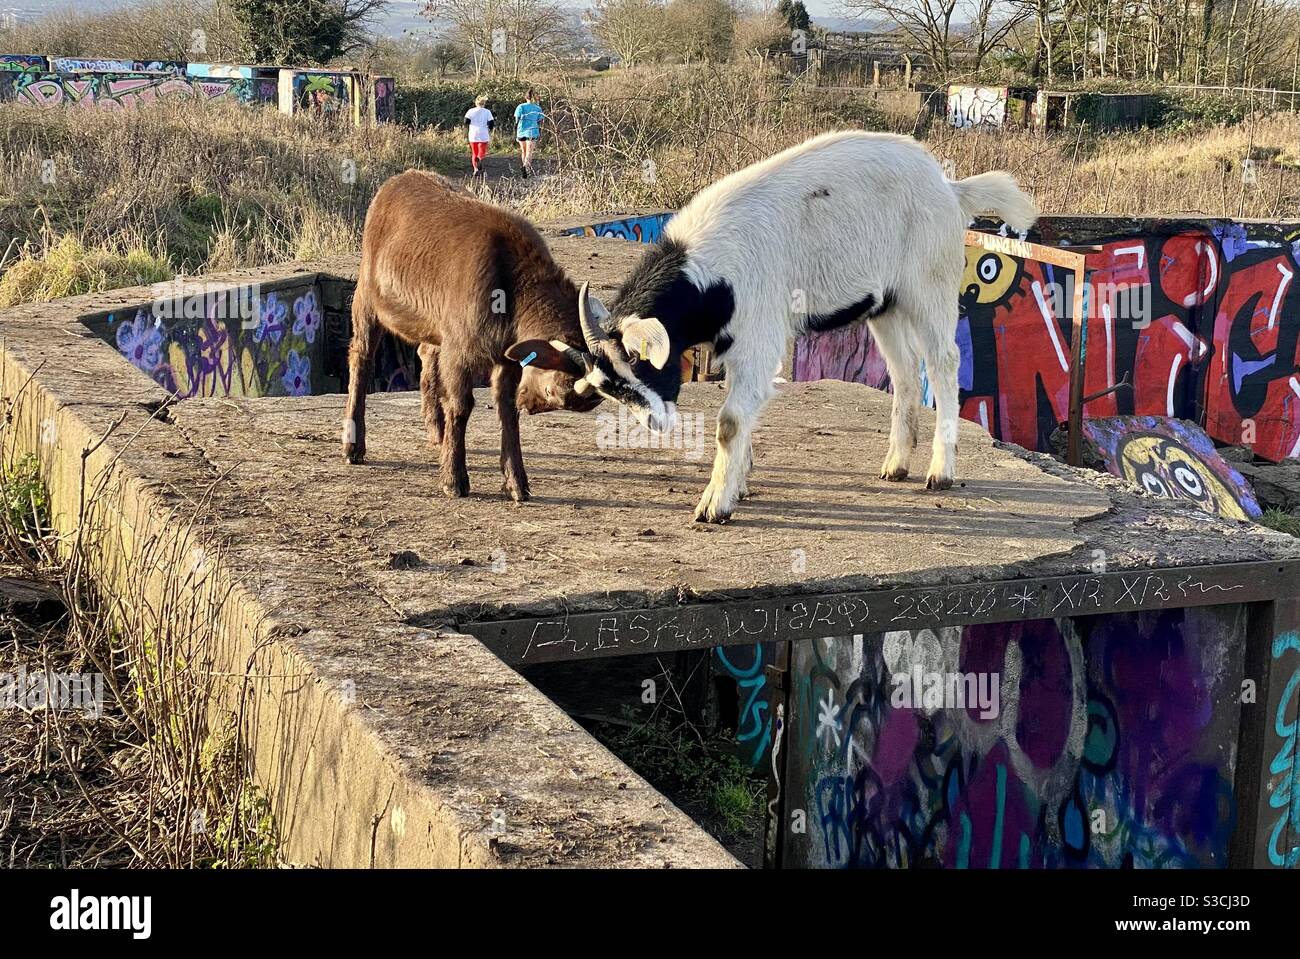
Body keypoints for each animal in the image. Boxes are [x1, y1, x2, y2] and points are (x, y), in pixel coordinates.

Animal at [340, 170, 595, 501]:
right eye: (553, 390)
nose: (530, 405)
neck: (512, 287)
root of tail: (395, 182)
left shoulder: (506, 355)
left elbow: (506, 409)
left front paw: (516, 483)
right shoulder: (459, 350)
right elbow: (461, 406)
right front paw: (454, 479)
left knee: (426, 355)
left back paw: (437, 430)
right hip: (367, 297)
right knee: (362, 357)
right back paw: (353, 445)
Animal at [572, 127, 1034, 522]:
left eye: (640, 361)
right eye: (610, 389)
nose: (656, 423)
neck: (709, 273)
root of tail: (952, 190)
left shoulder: (758, 332)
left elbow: (731, 420)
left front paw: (715, 504)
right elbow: (744, 407)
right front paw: (739, 484)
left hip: (929, 284)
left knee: (942, 362)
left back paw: (940, 472)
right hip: (884, 305)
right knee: (904, 371)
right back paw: (897, 465)